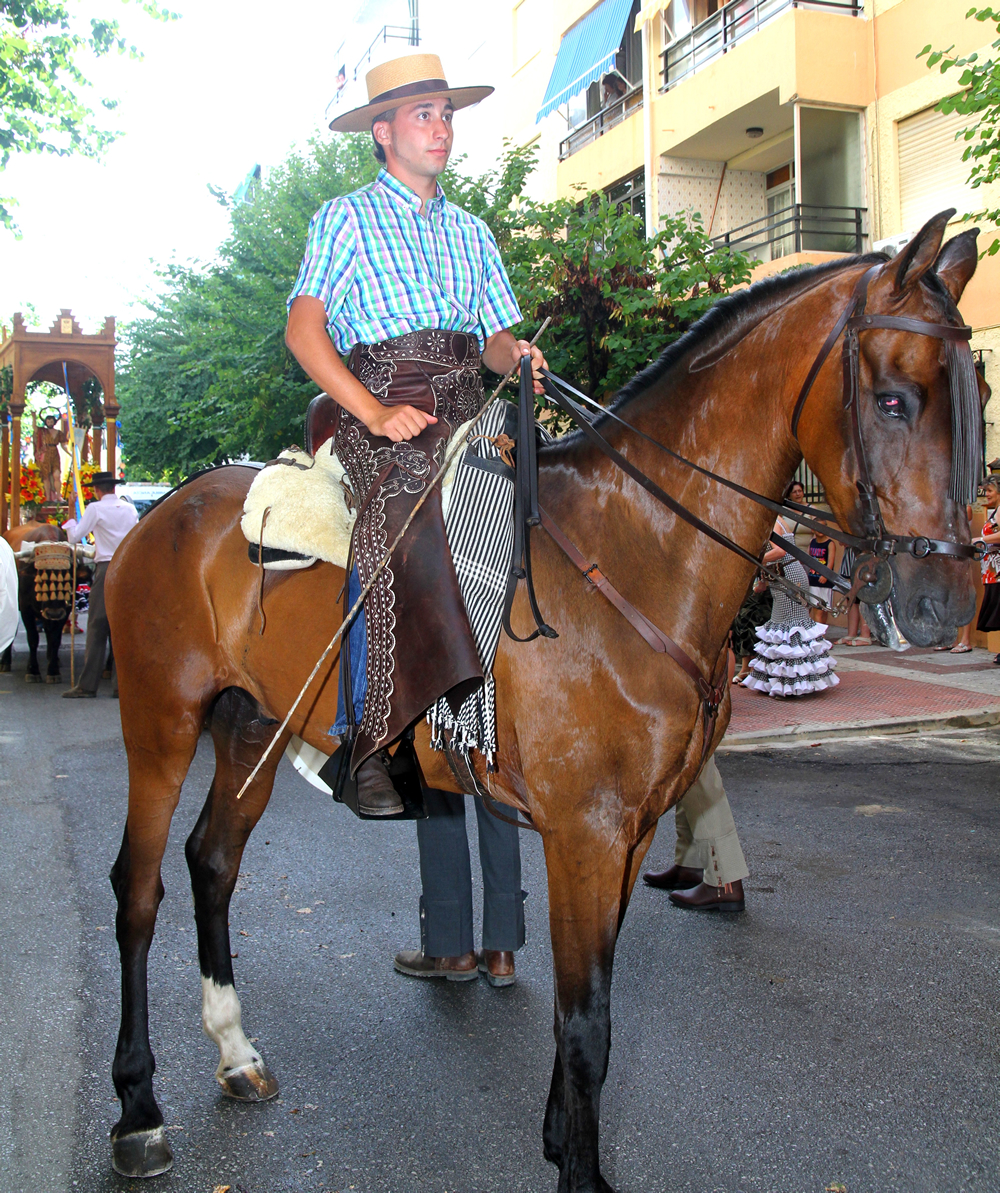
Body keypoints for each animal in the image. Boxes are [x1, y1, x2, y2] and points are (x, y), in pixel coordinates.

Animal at [103, 217, 988, 1183]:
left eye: (976, 391)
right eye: (895, 399)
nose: (946, 602)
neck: (633, 549)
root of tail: (170, 507)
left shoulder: (628, 829)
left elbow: (586, 1008)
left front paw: (566, 1142)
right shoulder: (584, 830)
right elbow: (585, 1022)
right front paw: (578, 1170)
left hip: (251, 724)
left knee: (212, 862)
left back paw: (235, 1052)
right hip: (159, 723)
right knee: (138, 888)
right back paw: (139, 1110)